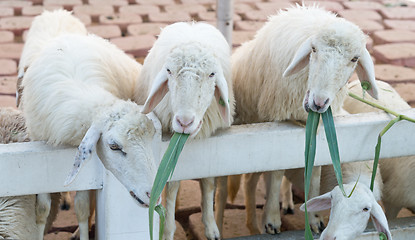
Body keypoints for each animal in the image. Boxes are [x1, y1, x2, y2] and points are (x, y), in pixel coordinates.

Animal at [20, 33, 156, 240]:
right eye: (114, 146)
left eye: (151, 141)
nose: (152, 194)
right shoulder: (38, 145)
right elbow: (42, 209)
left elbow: (82, 207)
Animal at [135, 21, 236, 239]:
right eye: (169, 71)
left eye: (212, 74)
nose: (184, 122)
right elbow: (172, 186)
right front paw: (168, 230)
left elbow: (208, 181)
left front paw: (211, 226)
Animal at [228, 4, 380, 235]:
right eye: (314, 49)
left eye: (354, 59)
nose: (319, 102)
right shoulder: (277, 121)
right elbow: (277, 171)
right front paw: (271, 219)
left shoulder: (318, 127)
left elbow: (314, 171)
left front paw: (314, 218)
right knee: (251, 180)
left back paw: (287, 202)